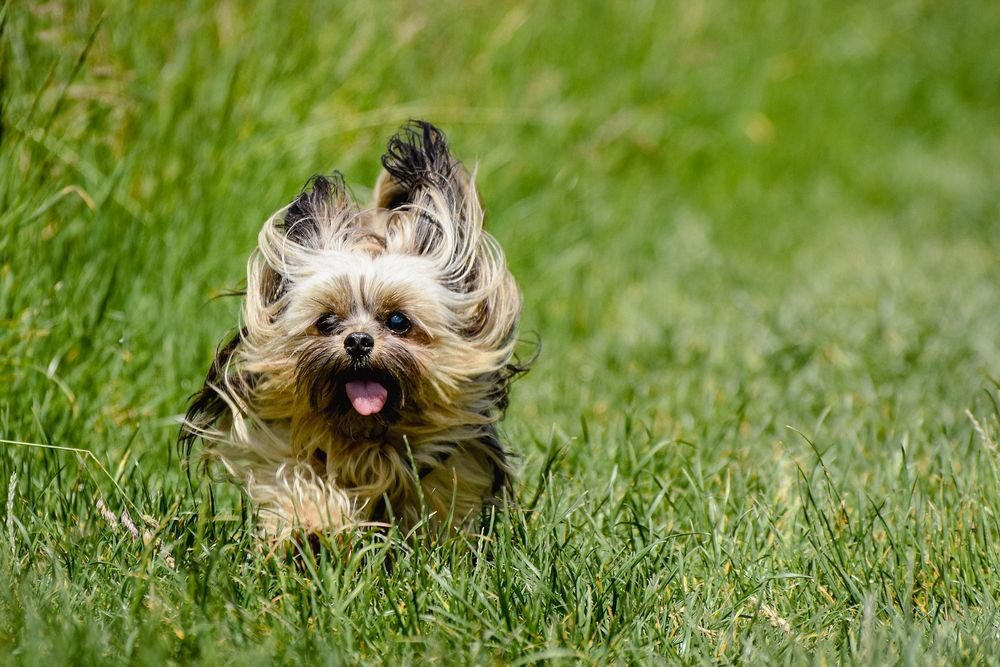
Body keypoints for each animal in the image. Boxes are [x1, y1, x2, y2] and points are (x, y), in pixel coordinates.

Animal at [181, 121, 528, 544]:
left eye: (398, 321)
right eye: (327, 322)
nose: (359, 341)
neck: (366, 436)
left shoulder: (453, 458)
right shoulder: (281, 439)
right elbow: (296, 480)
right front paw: (314, 526)